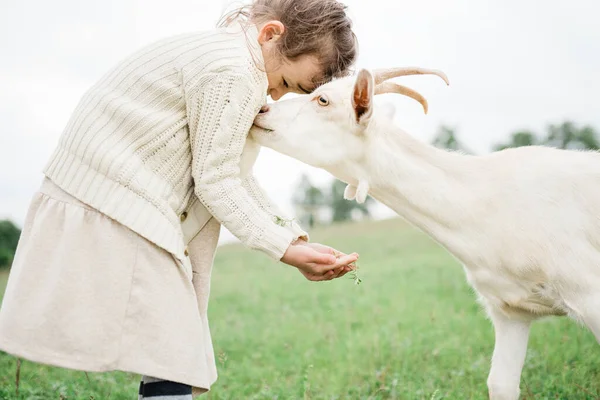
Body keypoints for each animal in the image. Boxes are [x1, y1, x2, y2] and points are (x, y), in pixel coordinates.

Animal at [251, 69, 600, 400]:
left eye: (323, 100)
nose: (262, 109)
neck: (487, 204)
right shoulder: (509, 310)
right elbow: (500, 385)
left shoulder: (589, 292)